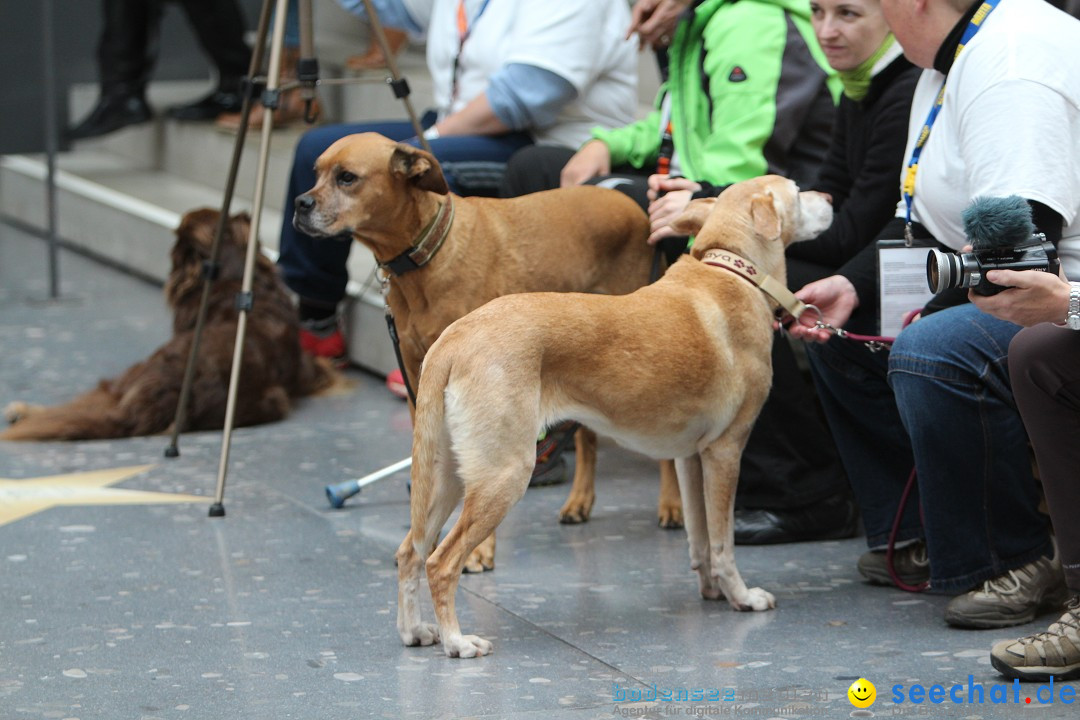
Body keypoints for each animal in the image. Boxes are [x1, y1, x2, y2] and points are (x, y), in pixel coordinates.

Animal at [291, 127, 682, 569]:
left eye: (347, 178)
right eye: (316, 173)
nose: (300, 204)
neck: (427, 255)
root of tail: (632, 205)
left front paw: (477, 551)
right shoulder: (420, 386)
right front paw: (425, 541)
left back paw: (672, 504)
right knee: (588, 438)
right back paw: (580, 500)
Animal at [393, 175, 829, 660]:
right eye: (797, 191)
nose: (829, 198)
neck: (731, 272)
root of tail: (454, 338)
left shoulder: (689, 458)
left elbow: (698, 539)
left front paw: (712, 592)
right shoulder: (725, 452)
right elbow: (722, 543)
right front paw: (741, 597)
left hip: (447, 476)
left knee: (409, 553)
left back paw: (414, 632)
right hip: (502, 475)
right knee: (440, 561)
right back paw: (456, 641)